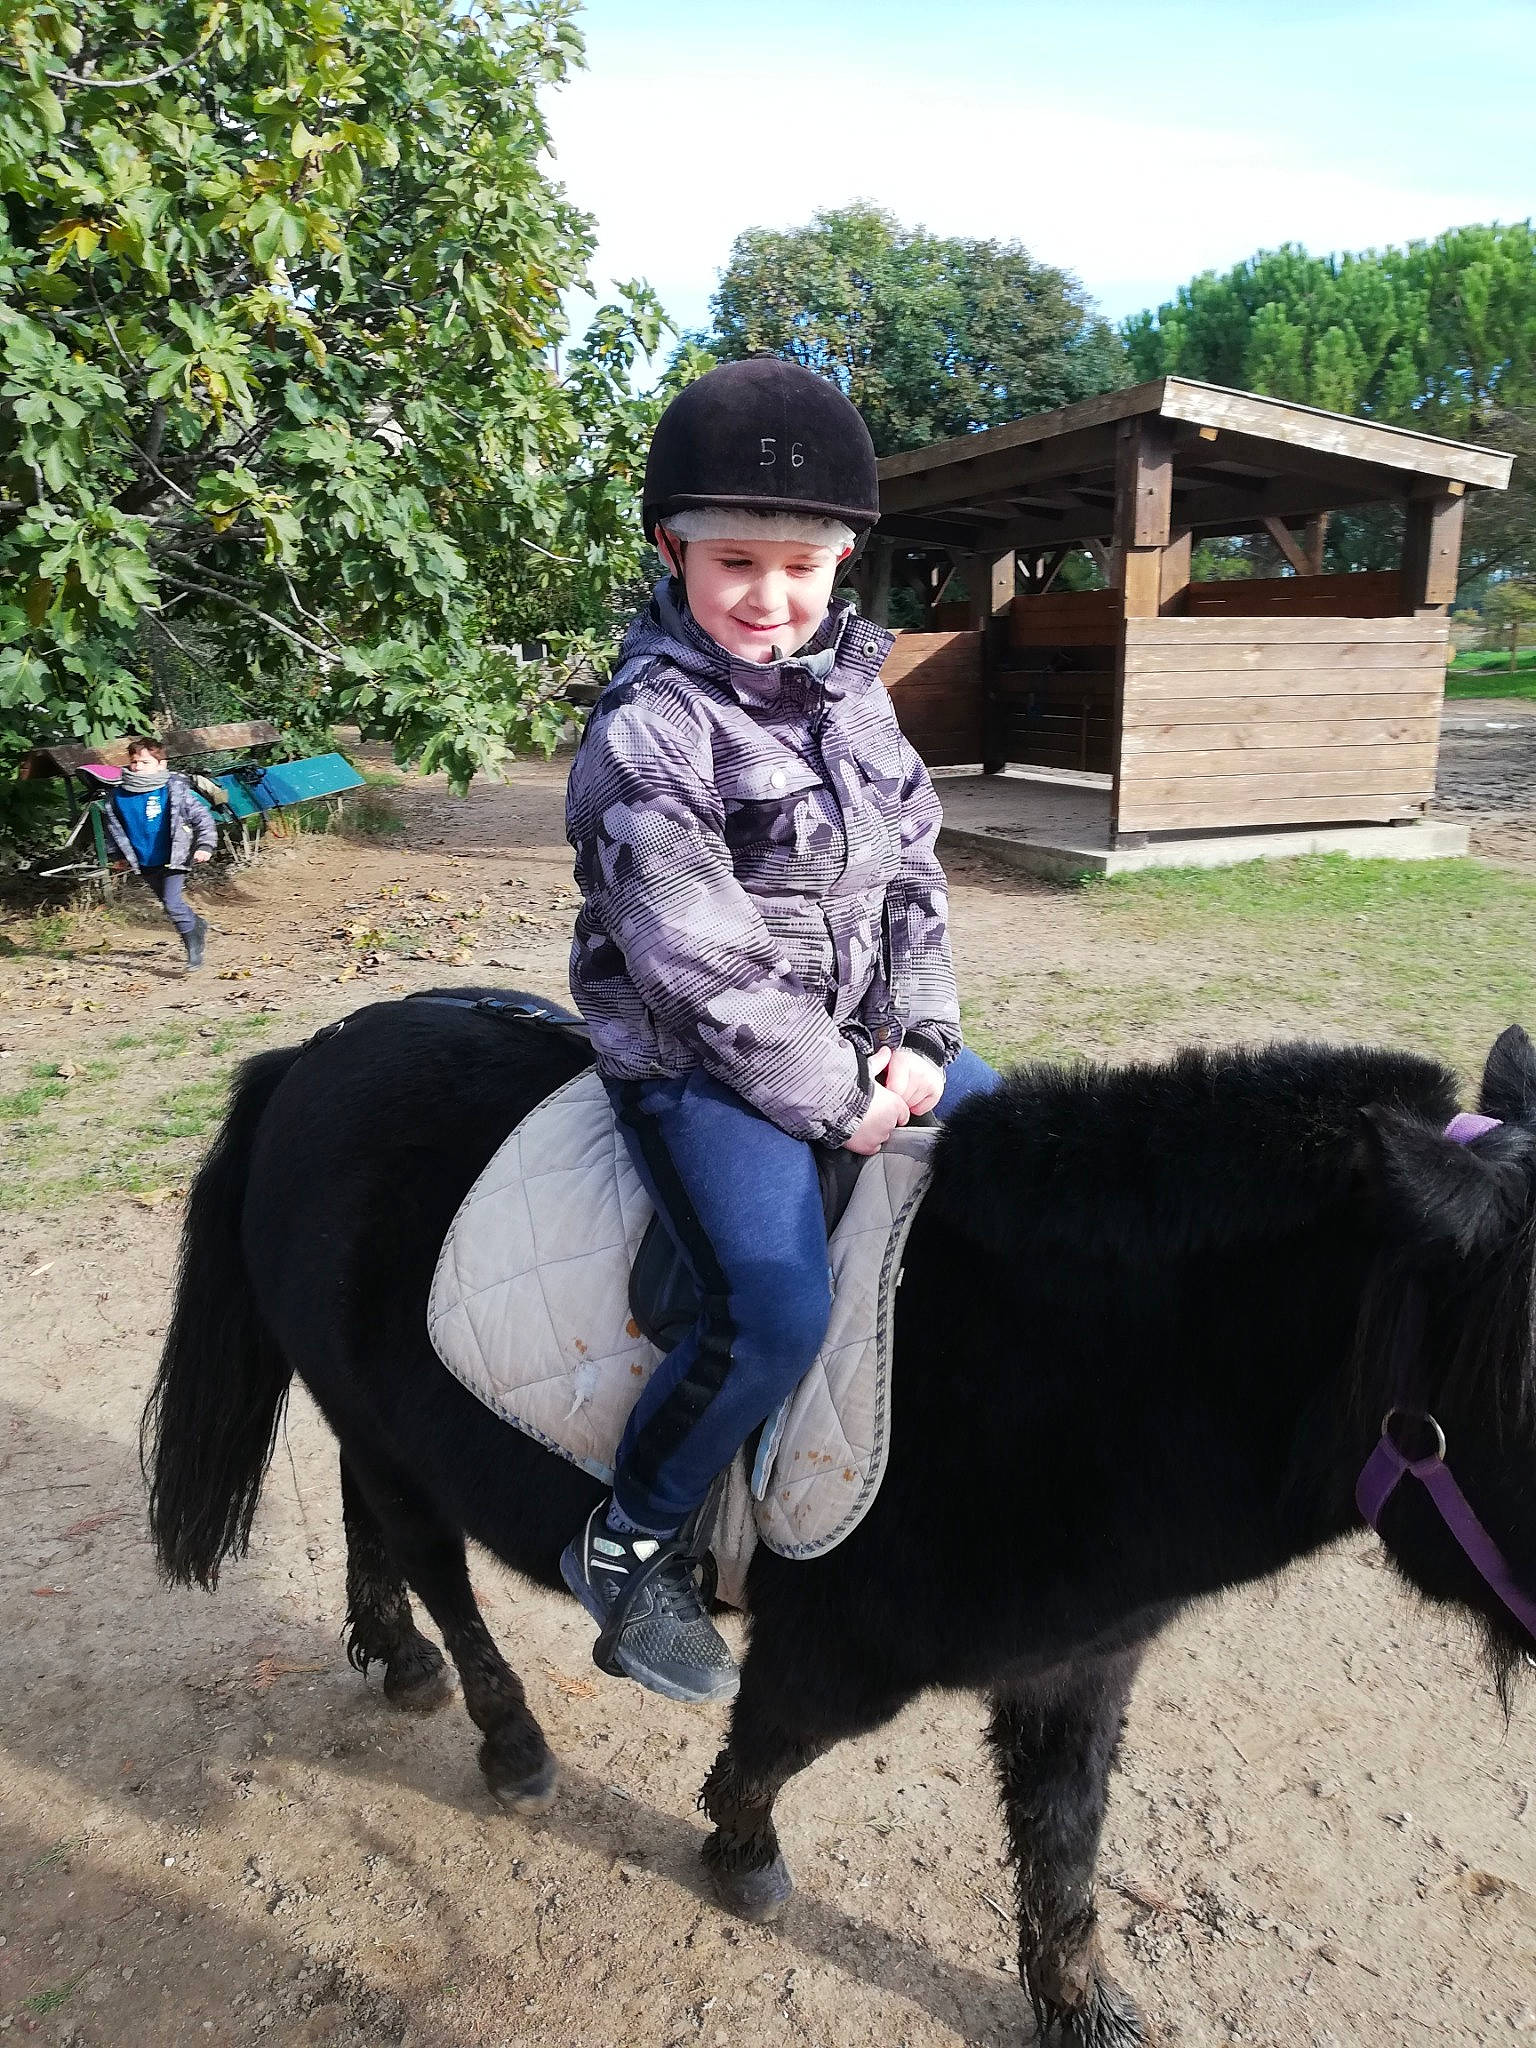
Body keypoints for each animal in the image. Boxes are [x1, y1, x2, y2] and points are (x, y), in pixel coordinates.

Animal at [141, 995, 1536, 2047]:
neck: (1060, 1364)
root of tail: (313, 1056)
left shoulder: (1082, 1663)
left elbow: (1064, 1845)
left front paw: (1082, 2012)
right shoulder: (842, 1646)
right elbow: (773, 1740)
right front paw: (739, 1850)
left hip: (372, 1415)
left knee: (371, 1517)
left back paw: (400, 1659)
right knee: (438, 1560)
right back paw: (510, 1738)